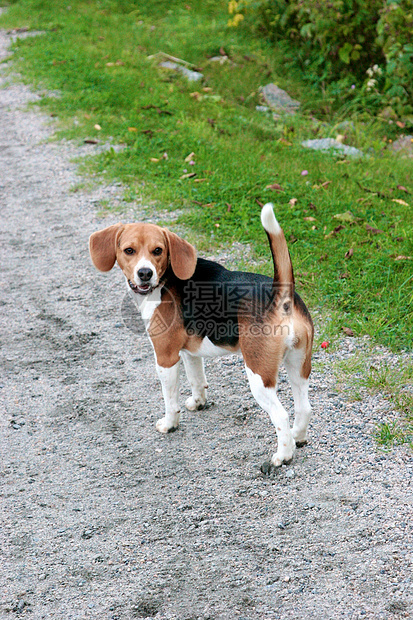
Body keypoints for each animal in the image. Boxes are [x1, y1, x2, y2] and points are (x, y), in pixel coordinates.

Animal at [89, 206, 312, 468]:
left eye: (158, 250)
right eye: (129, 250)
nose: (145, 273)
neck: (165, 279)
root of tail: (281, 295)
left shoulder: (165, 358)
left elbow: (170, 401)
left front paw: (169, 425)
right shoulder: (189, 352)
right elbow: (196, 379)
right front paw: (198, 403)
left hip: (259, 376)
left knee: (281, 415)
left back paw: (283, 456)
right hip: (298, 366)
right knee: (304, 408)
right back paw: (298, 438)